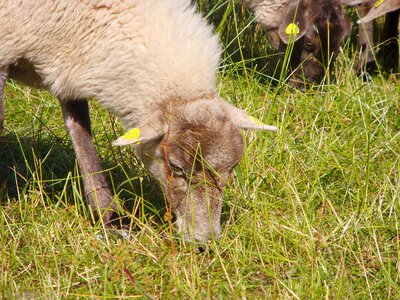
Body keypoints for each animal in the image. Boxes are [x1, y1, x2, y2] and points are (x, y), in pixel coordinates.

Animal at [0, 0, 276, 244]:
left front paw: (108, 215)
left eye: (233, 167)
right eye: (175, 166)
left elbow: (81, 134)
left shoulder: (70, 62)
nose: (204, 240)